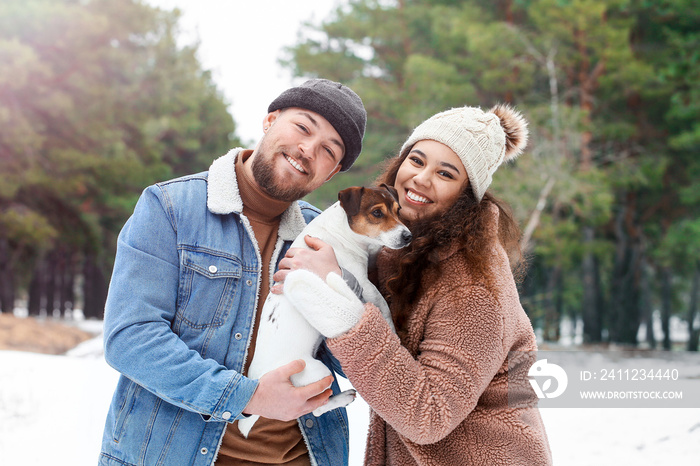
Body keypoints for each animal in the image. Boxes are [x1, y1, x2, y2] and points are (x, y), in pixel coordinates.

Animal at [237, 185, 410, 436]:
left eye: (398, 210)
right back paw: (343, 398)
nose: (408, 236)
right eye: (377, 213)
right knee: (317, 408)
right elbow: (383, 304)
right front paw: (393, 331)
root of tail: (260, 379)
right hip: (318, 371)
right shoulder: (362, 282)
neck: (341, 232)